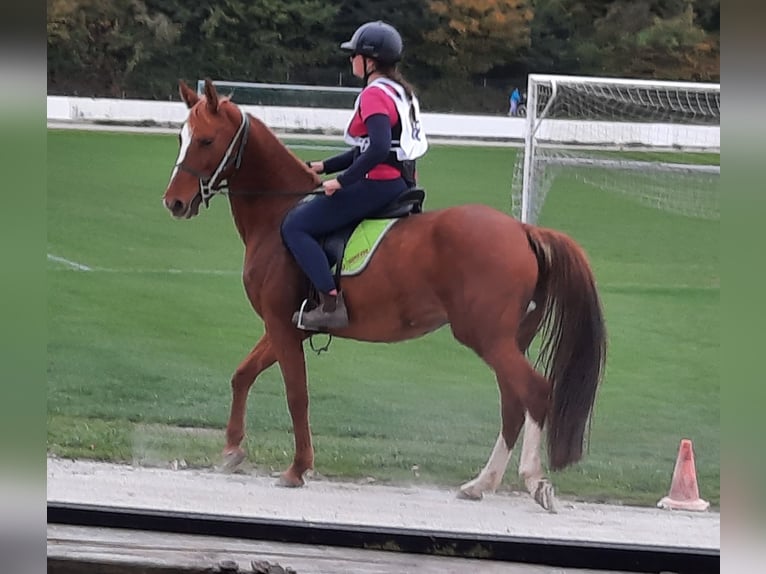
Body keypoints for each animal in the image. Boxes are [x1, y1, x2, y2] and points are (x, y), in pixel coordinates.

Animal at [162, 78, 606, 512]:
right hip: (509, 340)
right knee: (514, 404)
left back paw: (533, 479)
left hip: (488, 338)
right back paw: (482, 483)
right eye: (182, 136)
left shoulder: (281, 326)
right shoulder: (287, 326)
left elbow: (296, 395)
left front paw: (297, 468)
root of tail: (524, 230)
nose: (174, 202)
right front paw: (232, 450)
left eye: (205, 140)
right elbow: (242, 375)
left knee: (535, 393)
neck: (278, 216)